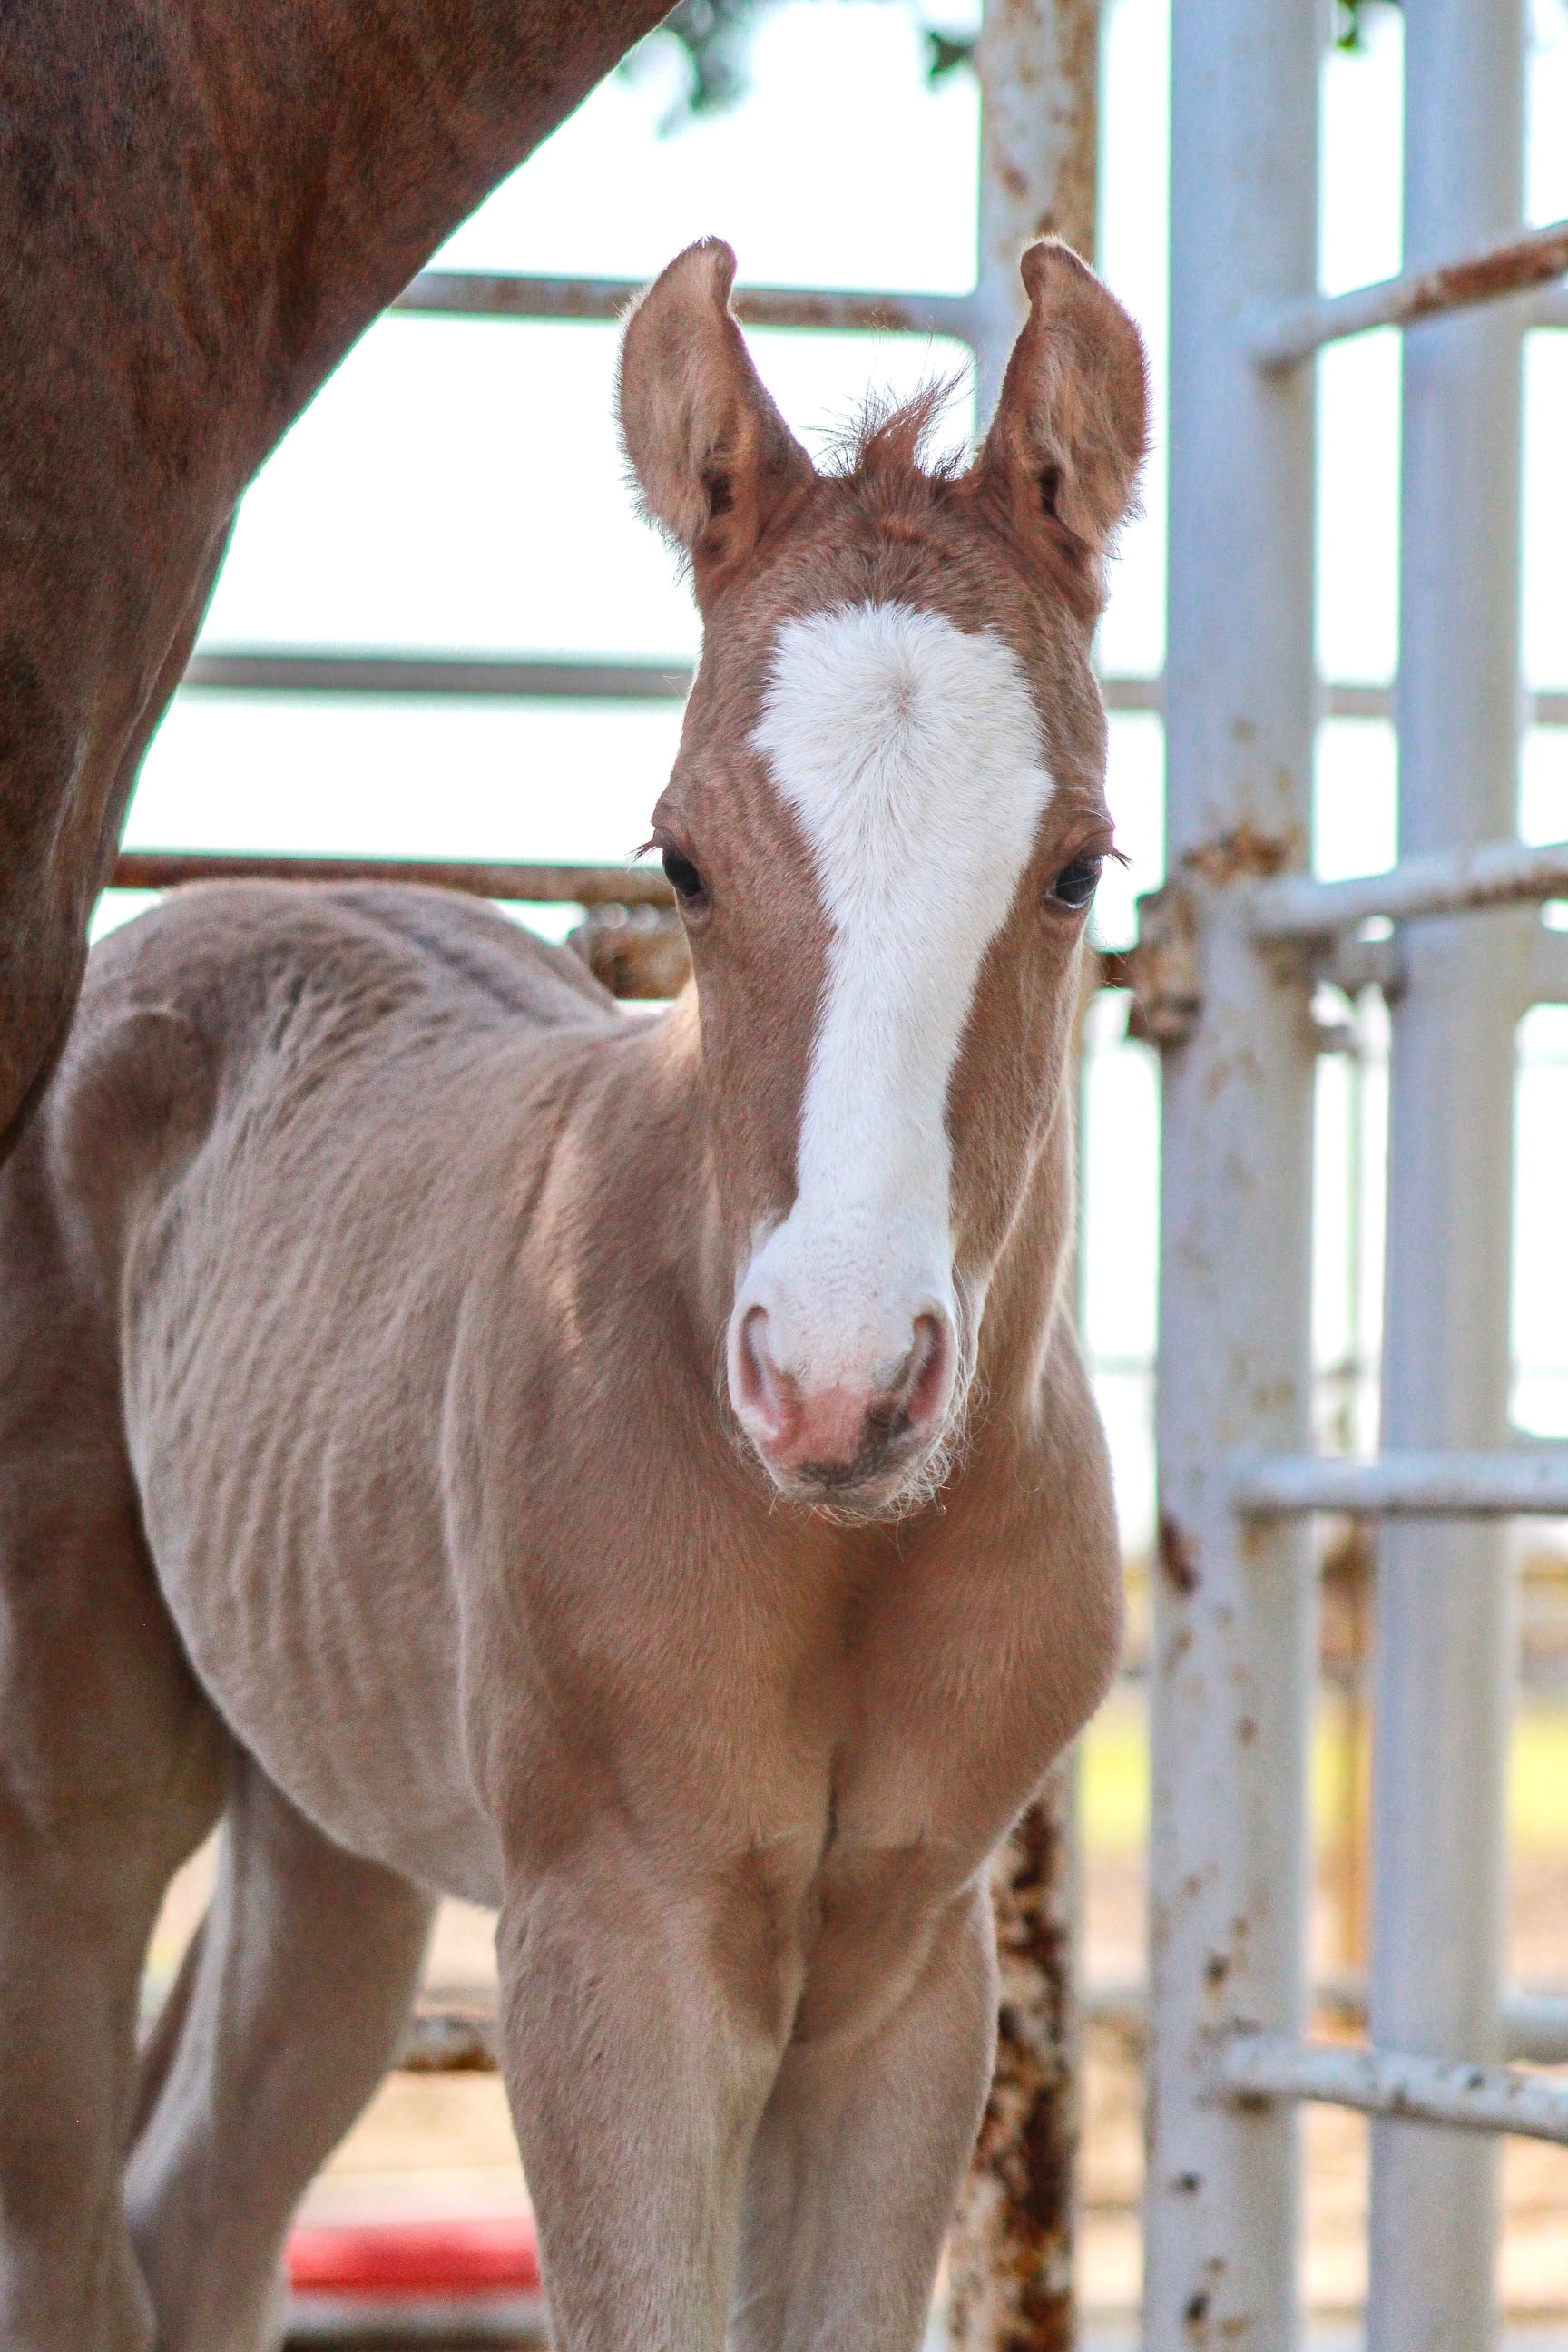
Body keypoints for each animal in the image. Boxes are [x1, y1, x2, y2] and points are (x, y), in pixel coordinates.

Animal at [0, 235, 1146, 2351]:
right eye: (677, 861)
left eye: (1077, 869)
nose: (838, 1382)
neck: (836, 1549)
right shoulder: (614, 1944)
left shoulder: (909, 1975)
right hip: (70, 1798)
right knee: (76, 2242)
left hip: (335, 1833)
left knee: (199, 2212)